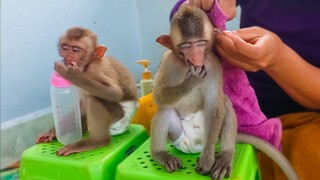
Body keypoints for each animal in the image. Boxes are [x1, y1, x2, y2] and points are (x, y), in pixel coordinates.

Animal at [36, 26, 138, 156]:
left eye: (76, 50)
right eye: (65, 47)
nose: (67, 58)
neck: (86, 66)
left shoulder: (96, 69)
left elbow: (115, 94)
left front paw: (72, 74)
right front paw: (52, 131)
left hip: (120, 118)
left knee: (93, 99)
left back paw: (97, 141)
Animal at [150, 4, 298, 180]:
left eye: (200, 43)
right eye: (186, 46)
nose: (196, 59)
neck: (185, 65)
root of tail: (195, 147)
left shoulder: (213, 65)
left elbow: (215, 105)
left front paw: (207, 160)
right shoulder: (167, 61)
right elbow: (158, 95)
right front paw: (190, 82)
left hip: (211, 136)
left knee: (225, 103)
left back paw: (224, 156)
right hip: (179, 138)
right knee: (165, 110)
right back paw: (160, 154)